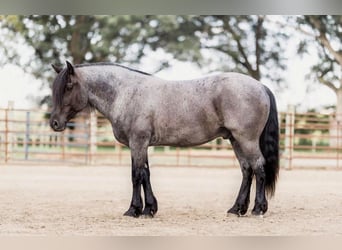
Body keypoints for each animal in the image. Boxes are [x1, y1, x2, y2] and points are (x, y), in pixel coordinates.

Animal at [49, 61, 280, 218]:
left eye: (68, 86)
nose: (54, 123)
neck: (126, 93)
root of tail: (261, 86)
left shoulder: (138, 142)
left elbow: (136, 176)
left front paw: (134, 210)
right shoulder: (141, 145)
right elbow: (146, 174)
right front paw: (149, 209)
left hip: (246, 140)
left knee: (259, 168)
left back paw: (258, 209)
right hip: (235, 140)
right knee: (247, 170)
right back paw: (237, 208)